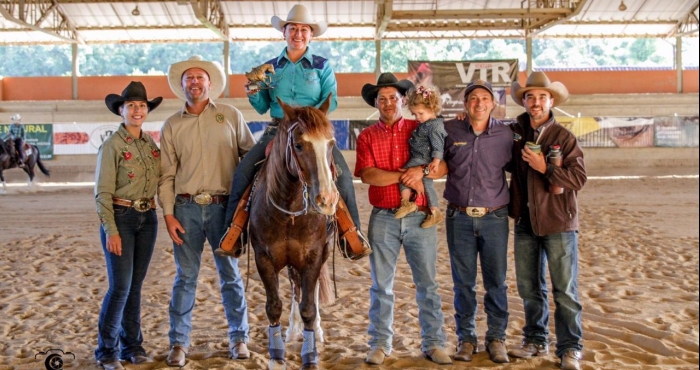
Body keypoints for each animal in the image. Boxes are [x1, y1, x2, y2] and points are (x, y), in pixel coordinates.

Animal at [249, 95, 340, 370]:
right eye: (298, 145)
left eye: (331, 143)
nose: (326, 200)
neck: (289, 211)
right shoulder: (264, 259)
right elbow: (273, 306)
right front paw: (276, 357)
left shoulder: (312, 256)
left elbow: (309, 306)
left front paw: (310, 356)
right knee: (295, 285)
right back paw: (292, 330)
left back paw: (316, 331)